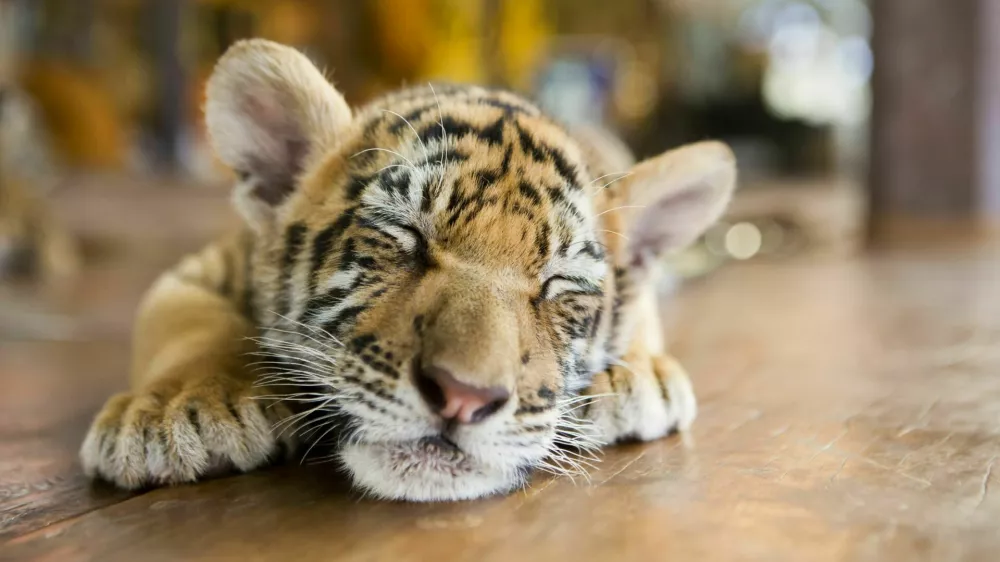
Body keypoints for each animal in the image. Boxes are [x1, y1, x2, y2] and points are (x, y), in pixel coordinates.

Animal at [79, 39, 736, 501]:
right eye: (406, 237)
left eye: (557, 285)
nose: (464, 398)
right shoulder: (196, 270)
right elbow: (187, 322)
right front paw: (177, 411)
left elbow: (641, 311)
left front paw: (637, 375)